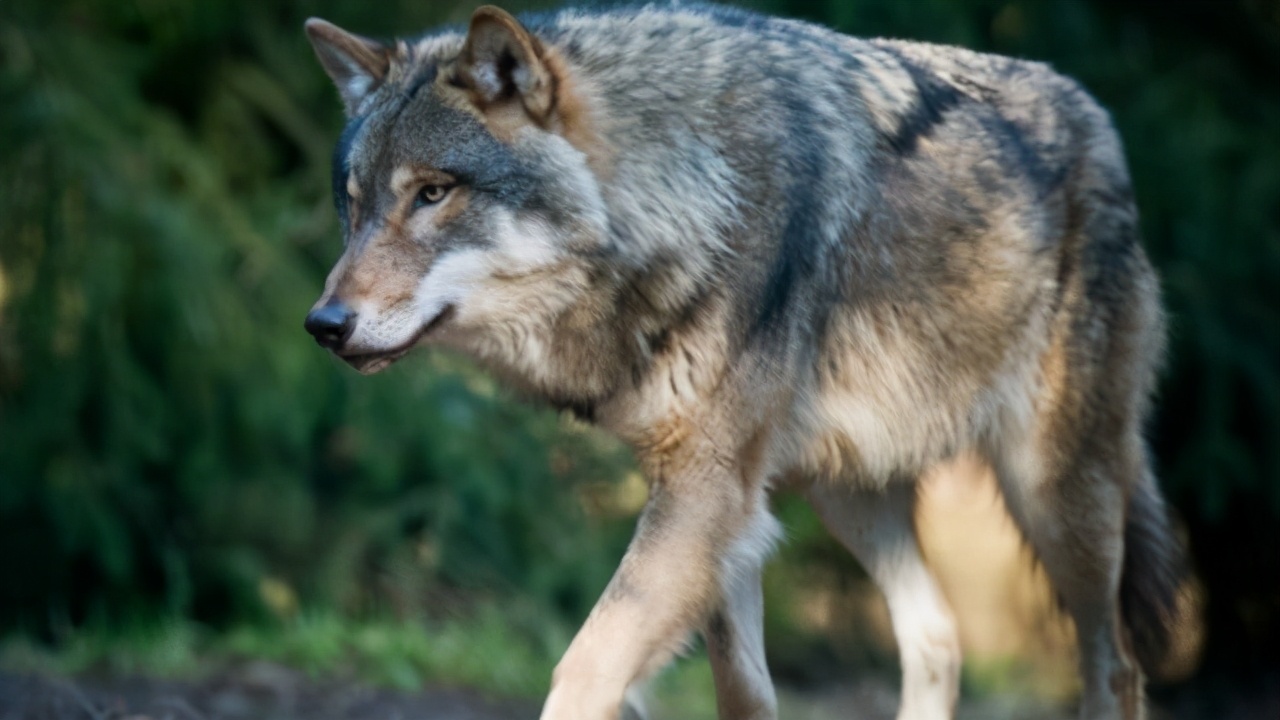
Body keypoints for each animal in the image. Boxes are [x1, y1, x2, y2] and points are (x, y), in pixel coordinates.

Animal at [304, 2, 1182, 712]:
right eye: (354, 203)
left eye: (432, 193)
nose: (323, 324)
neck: (686, 194)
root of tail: (1102, 122)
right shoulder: (721, 502)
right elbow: (742, 689)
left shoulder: (707, 487)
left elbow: (585, 669)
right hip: (849, 493)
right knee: (938, 635)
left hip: (1055, 496)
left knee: (1116, 667)